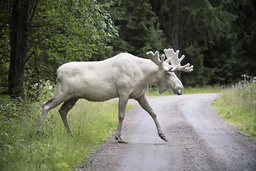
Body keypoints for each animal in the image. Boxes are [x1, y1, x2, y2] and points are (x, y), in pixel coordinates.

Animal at [39, 48, 193, 143]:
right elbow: (121, 115)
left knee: (62, 110)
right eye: (168, 73)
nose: (180, 88)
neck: (144, 76)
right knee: (46, 105)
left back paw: (70, 133)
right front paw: (119, 137)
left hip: (73, 97)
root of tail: (57, 72)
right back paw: (40, 132)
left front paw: (163, 135)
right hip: (63, 92)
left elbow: (153, 112)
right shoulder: (123, 92)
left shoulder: (140, 95)